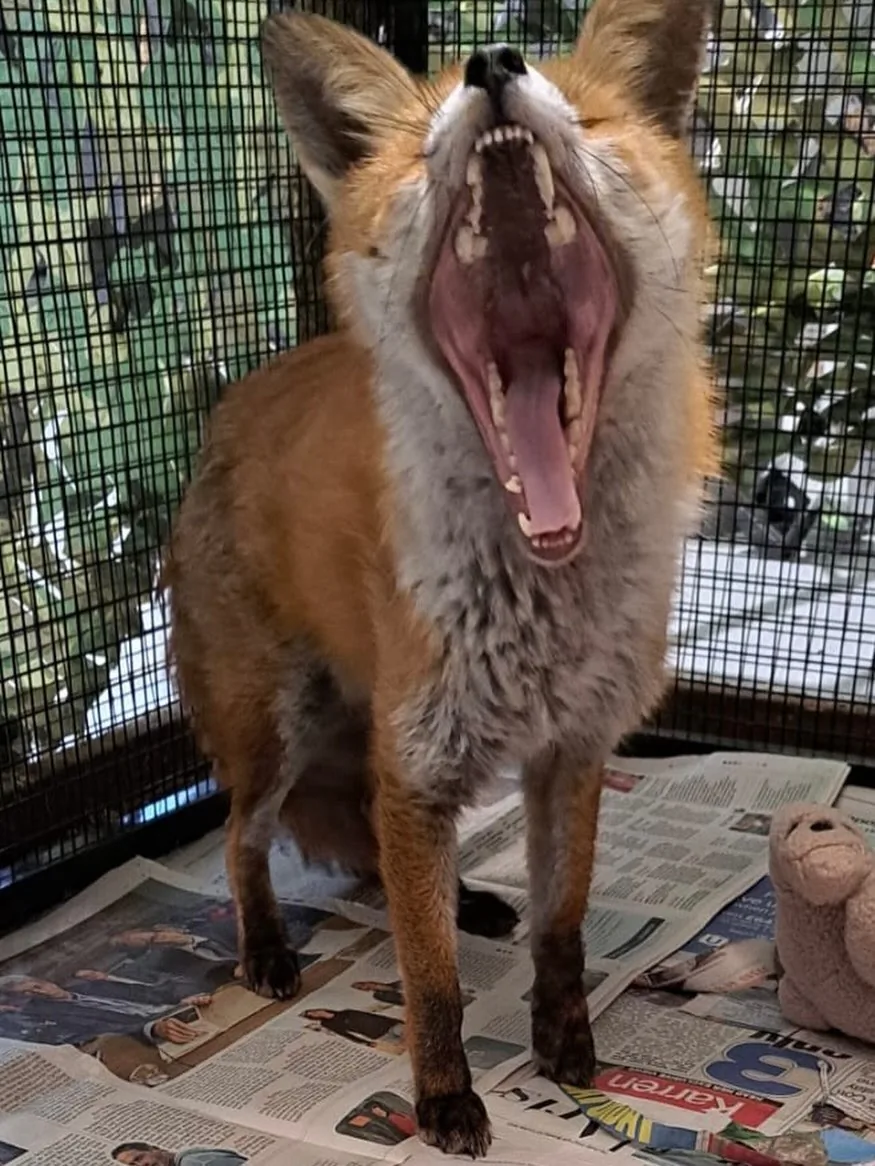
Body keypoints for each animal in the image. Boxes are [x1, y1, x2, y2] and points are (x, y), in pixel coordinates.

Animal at [163, 0, 717, 1156]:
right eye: (421, 146)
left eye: (590, 116)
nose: (489, 64)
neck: (543, 603)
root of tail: (235, 403)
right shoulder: (416, 765)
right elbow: (429, 983)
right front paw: (442, 1097)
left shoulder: (570, 752)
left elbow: (561, 929)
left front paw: (564, 1047)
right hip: (279, 727)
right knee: (244, 838)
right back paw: (266, 949)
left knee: (379, 860)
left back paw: (467, 898)